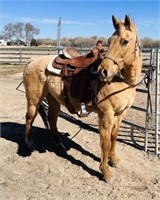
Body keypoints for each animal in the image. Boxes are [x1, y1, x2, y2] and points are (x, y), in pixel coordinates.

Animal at [23, 14, 141, 182]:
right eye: (109, 40)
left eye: (125, 41)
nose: (103, 71)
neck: (121, 81)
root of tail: (32, 61)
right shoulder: (106, 114)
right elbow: (104, 142)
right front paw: (105, 171)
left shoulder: (120, 114)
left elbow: (114, 137)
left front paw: (114, 160)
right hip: (34, 99)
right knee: (29, 118)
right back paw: (29, 143)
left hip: (53, 100)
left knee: (52, 120)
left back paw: (59, 145)